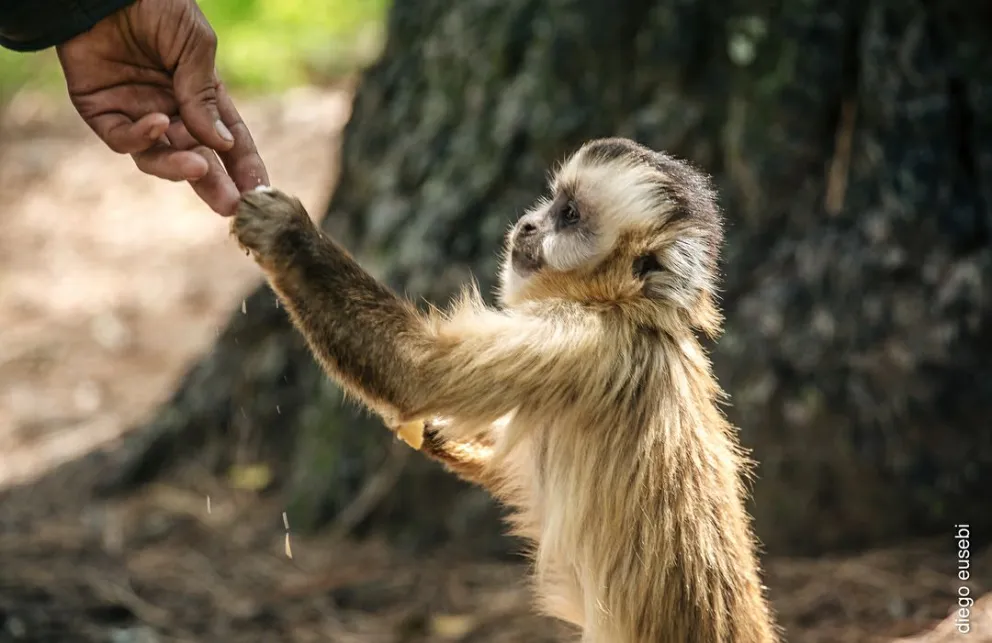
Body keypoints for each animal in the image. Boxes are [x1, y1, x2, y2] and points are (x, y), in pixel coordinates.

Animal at [231, 138, 780, 643]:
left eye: (569, 214)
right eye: (551, 202)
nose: (530, 224)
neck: (631, 312)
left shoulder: (580, 338)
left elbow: (416, 374)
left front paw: (287, 234)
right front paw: (437, 436)